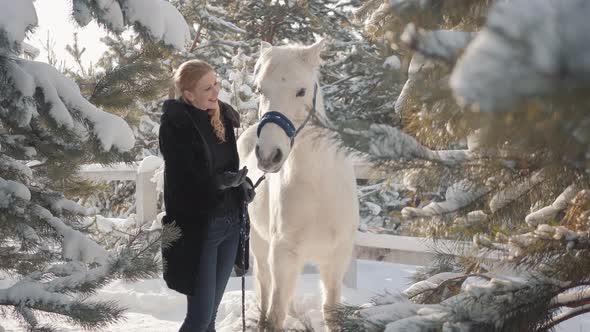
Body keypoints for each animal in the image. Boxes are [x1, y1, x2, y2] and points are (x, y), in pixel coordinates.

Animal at [237, 39, 360, 330]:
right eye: (260, 89)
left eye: (301, 91)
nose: (268, 155)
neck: (317, 185)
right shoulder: (283, 256)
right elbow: (275, 315)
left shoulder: (336, 257)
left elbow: (332, 312)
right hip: (259, 245)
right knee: (264, 286)